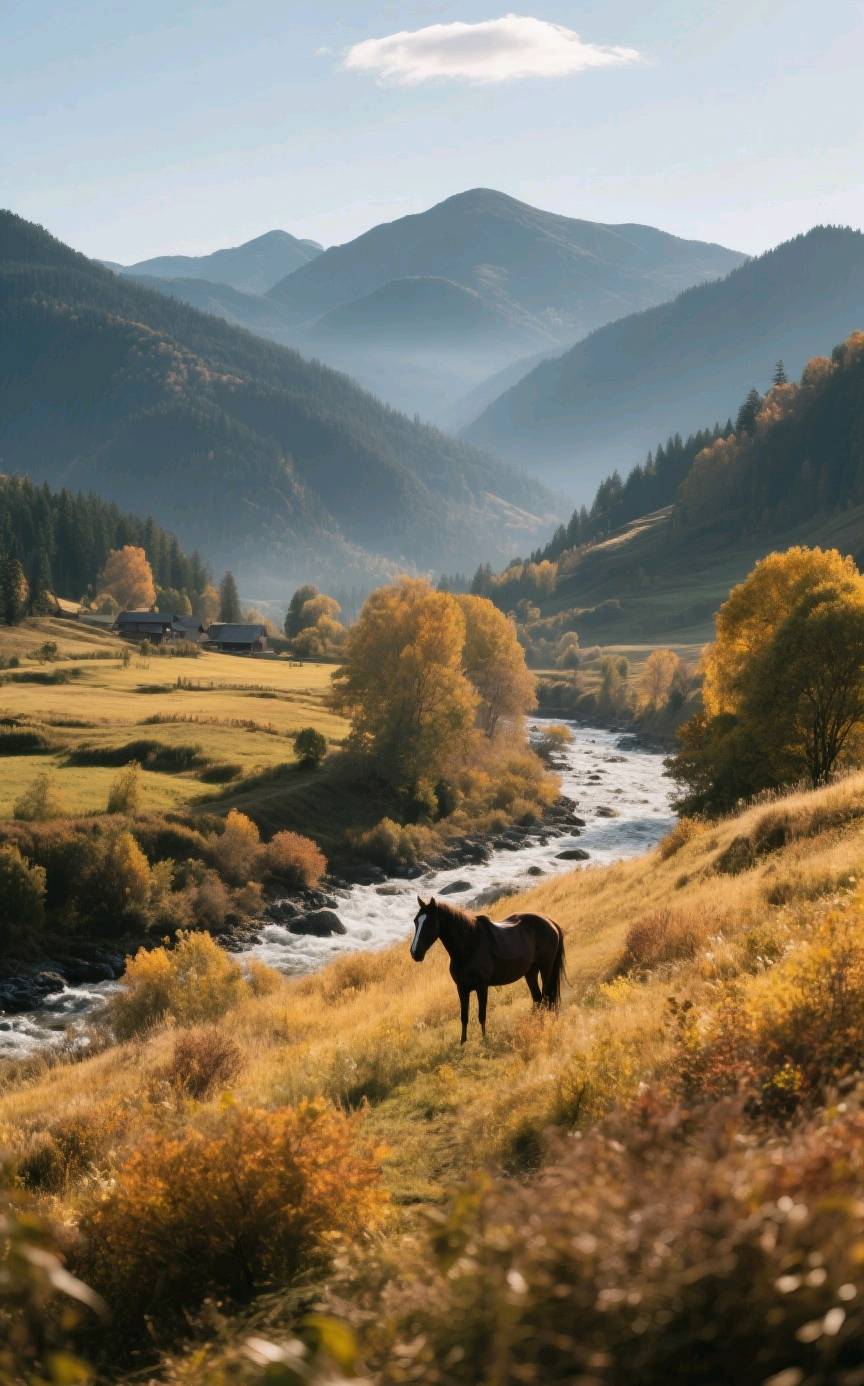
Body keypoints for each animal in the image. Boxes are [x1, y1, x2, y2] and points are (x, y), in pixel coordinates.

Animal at [409, 895, 566, 1043]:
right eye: (416, 921)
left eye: (430, 923)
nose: (415, 953)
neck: (469, 946)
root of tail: (551, 922)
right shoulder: (461, 988)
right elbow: (464, 1016)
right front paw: (463, 1042)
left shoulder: (482, 987)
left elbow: (482, 1015)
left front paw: (485, 1039)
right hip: (530, 973)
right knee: (538, 999)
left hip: (546, 970)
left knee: (547, 999)